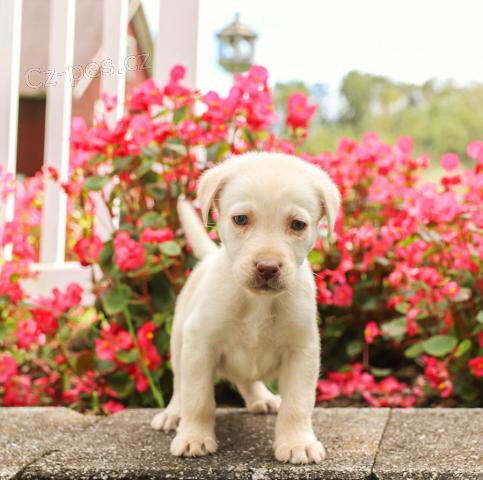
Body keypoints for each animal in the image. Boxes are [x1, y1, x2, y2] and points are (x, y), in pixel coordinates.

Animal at [151, 152, 340, 464]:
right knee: (180, 385)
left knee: (247, 380)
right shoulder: (200, 345)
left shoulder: (302, 351)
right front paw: (194, 438)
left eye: (298, 224)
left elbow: (298, 404)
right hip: (179, 341)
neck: (257, 302)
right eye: (240, 219)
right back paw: (172, 414)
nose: (267, 267)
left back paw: (263, 398)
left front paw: (297, 442)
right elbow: (197, 398)